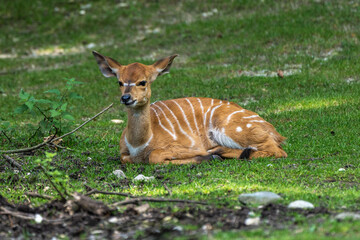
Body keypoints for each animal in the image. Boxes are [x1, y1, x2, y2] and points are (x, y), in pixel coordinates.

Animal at [93, 52, 286, 165]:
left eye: (143, 82)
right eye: (119, 82)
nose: (126, 98)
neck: (139, 144)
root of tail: (274, 131)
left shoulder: (188, 145)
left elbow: (155, 156)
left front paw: (205, 156)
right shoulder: (124, 153)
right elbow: (126, 159)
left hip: (232, 129)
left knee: (278, 151)